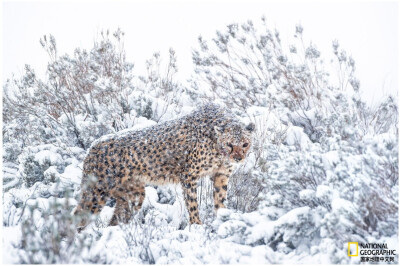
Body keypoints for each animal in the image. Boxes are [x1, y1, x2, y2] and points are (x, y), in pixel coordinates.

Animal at [73, 104, 255, 231]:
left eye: (245, 144)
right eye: (230, 144)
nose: (238, 158)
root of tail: (93, 145)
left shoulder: (221, 175)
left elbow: (220, 202)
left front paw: (222, 222)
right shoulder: (188, 176)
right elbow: (193, 204)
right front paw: (197, 226)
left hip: (133, 194)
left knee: (117, 218)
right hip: (98, 191)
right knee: (78, 216)